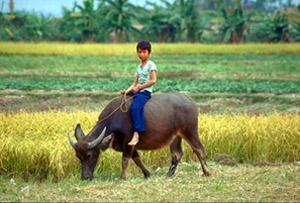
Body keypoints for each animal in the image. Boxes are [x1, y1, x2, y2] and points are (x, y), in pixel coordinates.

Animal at [68, 92, 210, 179]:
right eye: (78, 156)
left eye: (89, 155)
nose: (85, 177)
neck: (114, 120)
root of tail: (190, 101)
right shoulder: (131, 146)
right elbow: (136, 159)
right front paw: (147, 174)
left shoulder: (128, 142)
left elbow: (125, 160)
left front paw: (122, 177)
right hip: (175, 136)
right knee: (177, 153)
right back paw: (169, 174)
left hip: (190, 131)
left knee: (199, 149)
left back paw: (206, 172)